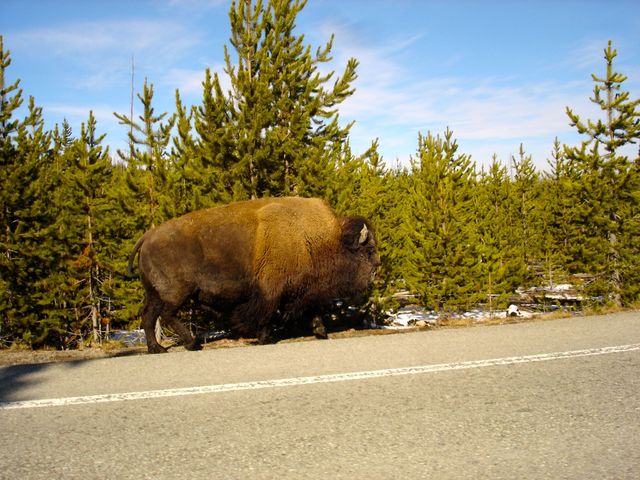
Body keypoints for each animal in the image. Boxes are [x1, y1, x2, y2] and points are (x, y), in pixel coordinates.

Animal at [129, 196, 380, 352]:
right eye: (369, 249)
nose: (377, 265)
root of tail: (147, 237)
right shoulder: (271, 290)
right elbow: (266, 313)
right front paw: (264, 339)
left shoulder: (301, 289)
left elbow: (311, 310)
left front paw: (321, 332)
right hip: (177, 293)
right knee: (167, 314)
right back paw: (191, 344)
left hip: (155, 294)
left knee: (149, 317)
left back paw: (157, 348)